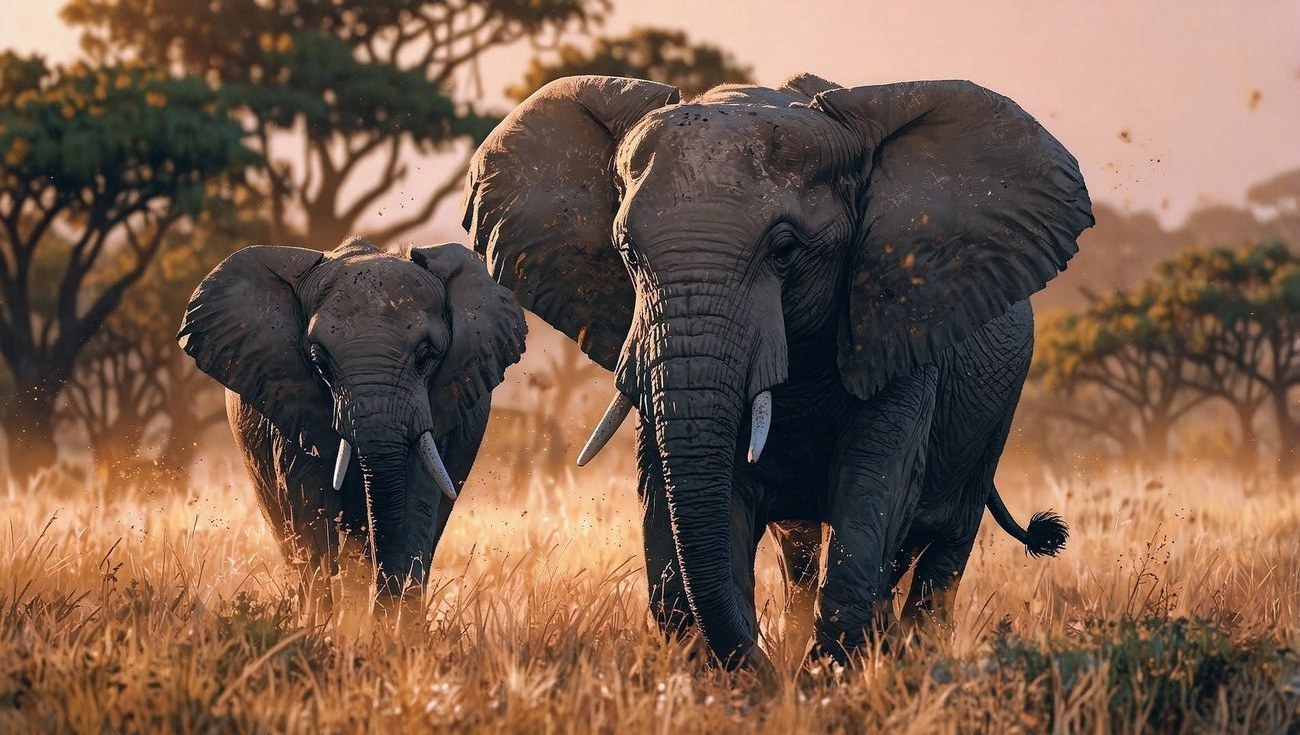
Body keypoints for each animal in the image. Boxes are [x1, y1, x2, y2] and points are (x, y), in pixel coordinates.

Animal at [462, 73, 1092, 671]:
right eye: (627, 254)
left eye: (785, 252)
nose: (760, 663)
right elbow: (694, 496)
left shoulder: (898, 323)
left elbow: (876, 486)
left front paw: (826, 675)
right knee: (803, 554)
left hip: (995, 413)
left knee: (941, 548)